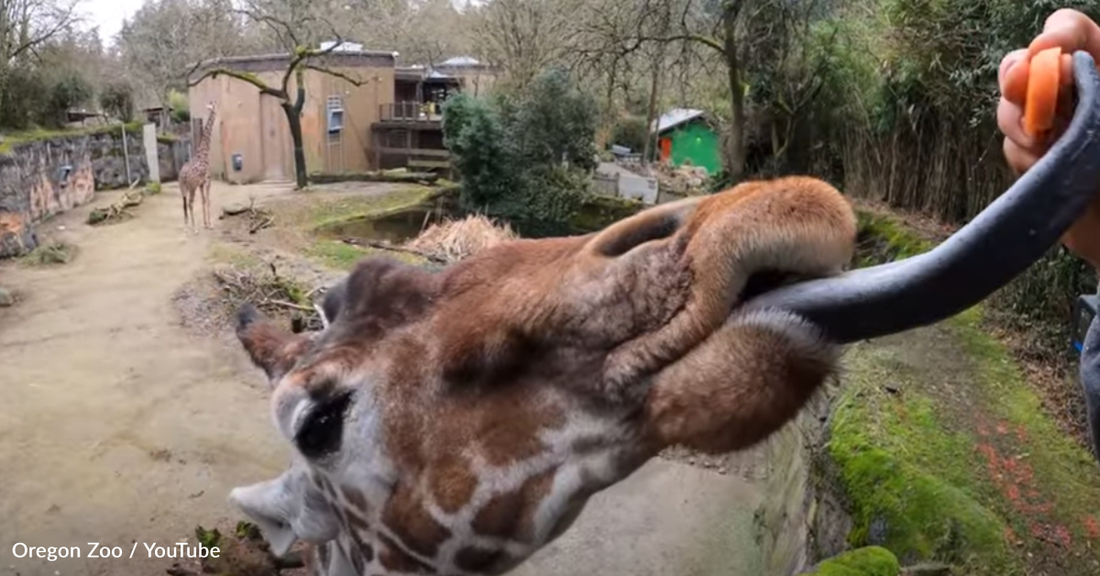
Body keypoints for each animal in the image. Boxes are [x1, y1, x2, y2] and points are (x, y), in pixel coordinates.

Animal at [178, 101, 218, 233]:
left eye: (211, 104)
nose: (210, 108)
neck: (204, 153)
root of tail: (182, 176)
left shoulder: (201, 184)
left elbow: (203, 200)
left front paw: (206, 224)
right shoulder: (207, 180)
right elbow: (208, 200)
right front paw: (210, 225)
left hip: (183, 188)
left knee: (184, 204)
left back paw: (186, 227)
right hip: (191, 187)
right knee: (190, 203)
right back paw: (194, 228)